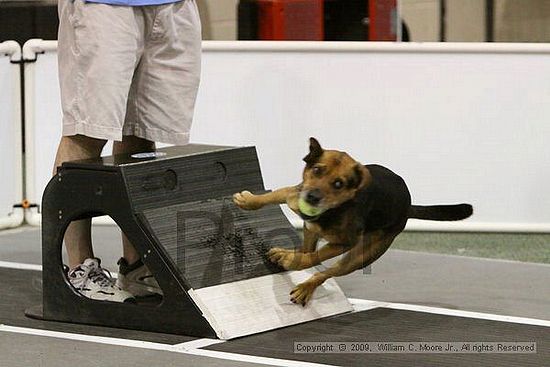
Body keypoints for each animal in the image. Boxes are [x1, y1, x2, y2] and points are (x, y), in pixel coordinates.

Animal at [234, 139, 474, 306]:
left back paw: (304, 284)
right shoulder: (294, 193)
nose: (312, 197)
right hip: (312, 230)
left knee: (324, 268)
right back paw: (284, 253)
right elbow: (271, 196)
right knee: (306, 248)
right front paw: (248, 201)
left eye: (338, 183)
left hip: (360, 255)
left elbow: (315, 258)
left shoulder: (344, 243)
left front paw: (296, 265)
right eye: (317, 170)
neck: (333, 210)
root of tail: (407, 204)